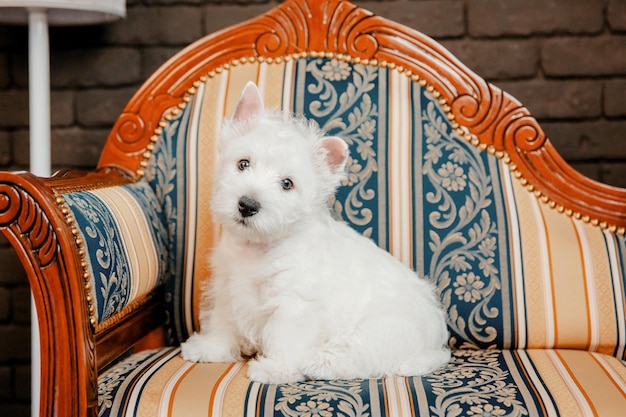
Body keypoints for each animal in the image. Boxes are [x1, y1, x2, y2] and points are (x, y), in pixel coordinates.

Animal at [180, 81, 448, 384]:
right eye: (243, 163)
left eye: (287, 184)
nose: (247, 205)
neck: (259, 247)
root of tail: (436, 346)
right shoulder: (226, 287)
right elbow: (222, 322)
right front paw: (209, 349)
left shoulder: (295, 303)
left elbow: (285, 339)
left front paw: (275, 368)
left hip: (386, 325)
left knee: (361, 356)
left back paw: (319, 362)